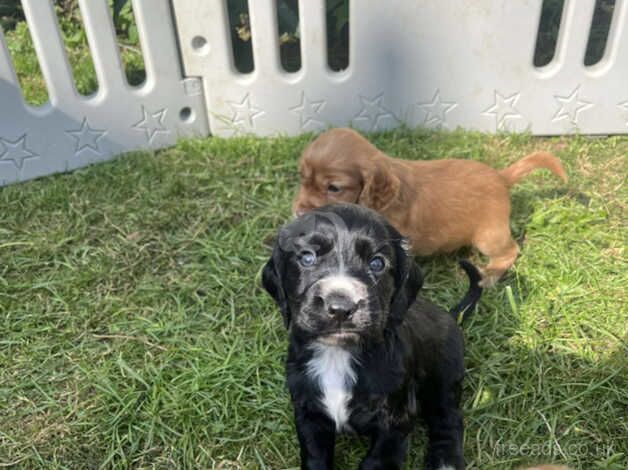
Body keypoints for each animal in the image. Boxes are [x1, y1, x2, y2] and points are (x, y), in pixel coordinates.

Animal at [260, 205, 480, 470]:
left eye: (377, 263)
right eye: (307, 257)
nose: (341, 308)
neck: (337, 355)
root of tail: (448, 316)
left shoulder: (395, 421)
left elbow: (376, 462)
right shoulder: (308, 413)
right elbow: (314, 457)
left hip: (443, 377)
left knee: (448, 420)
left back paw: (445, 462)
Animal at [292, 126, 568, 284]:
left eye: (333, 188)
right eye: (302, 177)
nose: (299, 212)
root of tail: (501, 176)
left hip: (489, 235)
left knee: (510, 251)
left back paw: (488, 276)